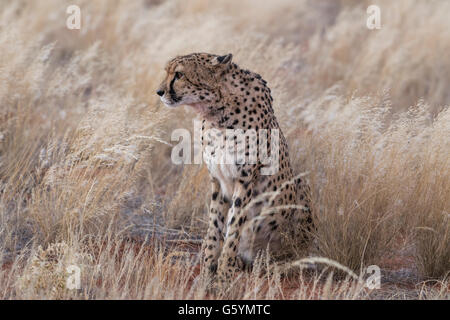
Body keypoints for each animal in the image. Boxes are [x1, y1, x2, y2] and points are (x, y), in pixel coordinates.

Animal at [156, 52, 312, 288]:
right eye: (167, 72)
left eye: (179, 75)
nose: (159, 92)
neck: (216, 112)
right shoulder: (217, 180)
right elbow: (214, 228)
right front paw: (208, 273)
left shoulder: (244, 180)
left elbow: (234, 228)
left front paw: (223, 277)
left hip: (300, 187)